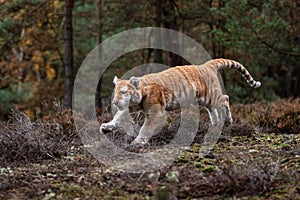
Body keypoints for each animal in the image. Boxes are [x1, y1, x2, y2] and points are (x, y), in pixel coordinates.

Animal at [100, 58, 260, 145]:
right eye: (116, 92)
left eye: (123, 92)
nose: (114, 103)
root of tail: (206, 65)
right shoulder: (129, 107)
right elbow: (118, 118)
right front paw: (106, 127)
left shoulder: (156, 113)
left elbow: (145, 128)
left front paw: (138, 142)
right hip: (206, 100)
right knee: (213, 109)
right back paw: (215, 124)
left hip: (211, 95)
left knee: (225, 99)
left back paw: (228, 120)